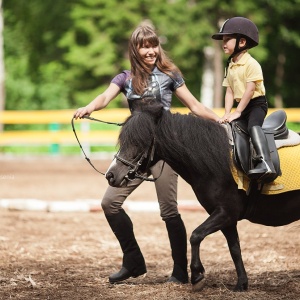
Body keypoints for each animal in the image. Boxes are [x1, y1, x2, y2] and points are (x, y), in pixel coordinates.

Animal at [105, 102, 300, 292]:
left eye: (139, 142)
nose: (111, 175)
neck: (218, 160)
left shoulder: (226, 213)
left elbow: (195, 235)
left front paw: (197, 276)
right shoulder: (227, 218)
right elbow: (234, 248)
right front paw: (241, 284)